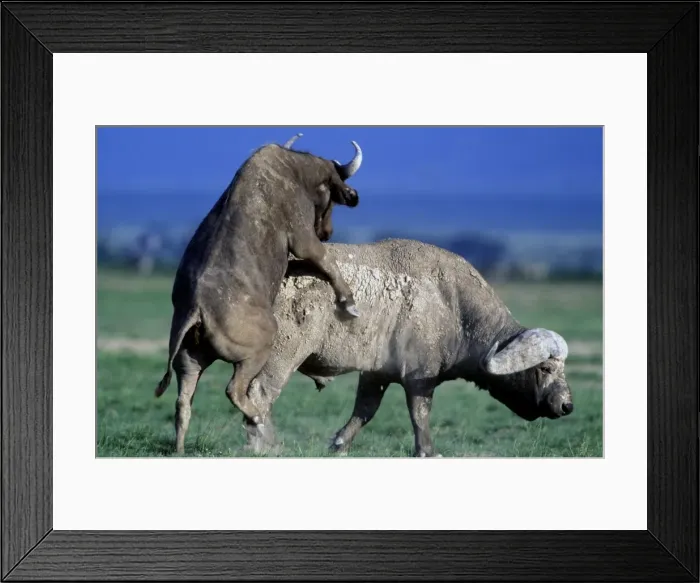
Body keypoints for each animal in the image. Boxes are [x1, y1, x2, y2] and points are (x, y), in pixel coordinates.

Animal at [155, 135, 364, 453]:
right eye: (331, 199)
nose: (327, 232)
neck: (294, 170)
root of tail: (197, 309)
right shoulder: (303, 240)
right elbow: (326, 261)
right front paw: (348, 302)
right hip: (257, 351)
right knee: (235, 391)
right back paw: (258, 421)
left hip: (188, 362)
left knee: (182, 403)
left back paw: (179, 448)